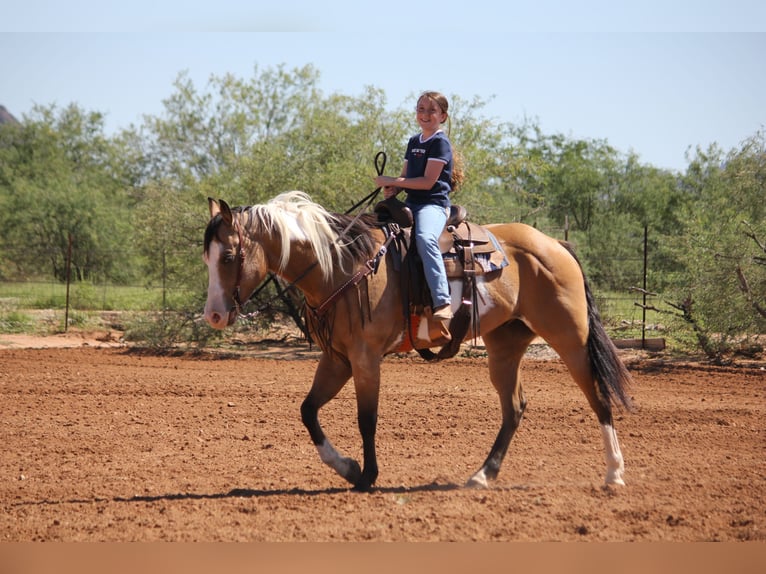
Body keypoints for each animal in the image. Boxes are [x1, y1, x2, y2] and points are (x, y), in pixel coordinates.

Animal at [202, 191, 633, 492]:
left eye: (228, 257)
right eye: (207, 257)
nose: (214, 316)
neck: (342, 266)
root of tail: (556, 244)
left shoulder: (365, 358)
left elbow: (367, 419)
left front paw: (367, 475)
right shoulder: (337, 359)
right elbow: (308, 411)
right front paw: (349, 468)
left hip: (570, 338)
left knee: (598, 397)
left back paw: (614, 473)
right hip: (505, 345)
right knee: (514, 408)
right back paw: (482, 475)